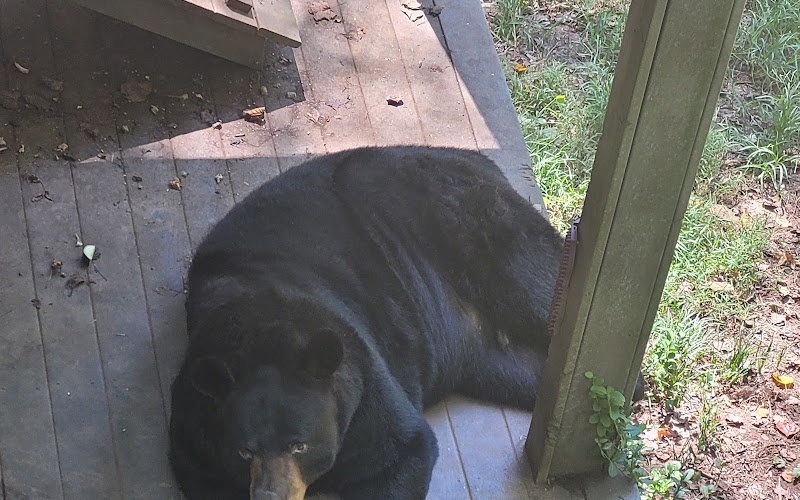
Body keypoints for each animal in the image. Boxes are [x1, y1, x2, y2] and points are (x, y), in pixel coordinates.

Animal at [168, 146, 567, 500]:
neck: (263, 333)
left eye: (299, 445)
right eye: (243, 452)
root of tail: (478, 160)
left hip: (473, 220)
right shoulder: (194, 424)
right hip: (488, 357)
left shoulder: (360, 385)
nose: (270, 496)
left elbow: (401, 449)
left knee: (537, 279)